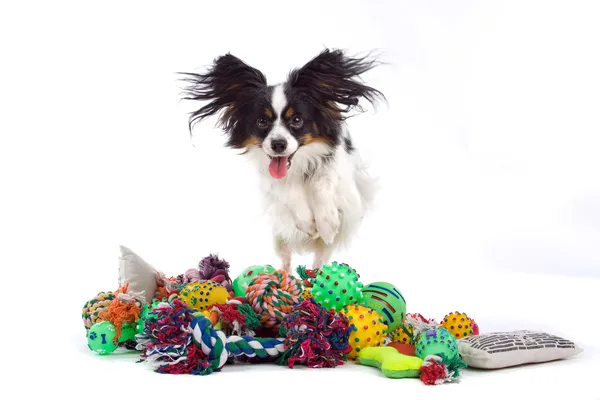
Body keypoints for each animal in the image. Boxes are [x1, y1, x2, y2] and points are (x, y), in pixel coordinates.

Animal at [180, 48, 384, 270]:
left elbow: (323, 180)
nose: (278, 144)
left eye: (297, 120)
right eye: (262, 121)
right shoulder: (270, 181)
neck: (298, 165)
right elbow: (288, 192)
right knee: (286, 260)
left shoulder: (342, 168)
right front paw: (308, 223)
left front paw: (326, 221)